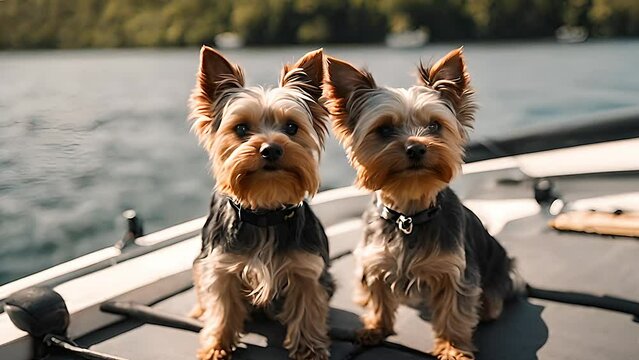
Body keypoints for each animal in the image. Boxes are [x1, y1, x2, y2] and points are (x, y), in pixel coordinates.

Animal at [189, 46, 336, 358]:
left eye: (291, 127)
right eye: (241, 129)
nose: (271, 149)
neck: (265, 210)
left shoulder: (306, 269)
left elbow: (307, 308)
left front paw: (309, 347)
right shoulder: (221, 267)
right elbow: (222, 308)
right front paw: (217, 345)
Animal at [324, 48, 524, 360]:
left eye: (434, 125)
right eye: (384, 130)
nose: (416, 147)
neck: (408, 214)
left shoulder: (455, 272)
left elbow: (454, 312)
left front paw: (453, 348)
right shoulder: (375, 262)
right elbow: (379, 298)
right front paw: (374, 329)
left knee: (491, 303)